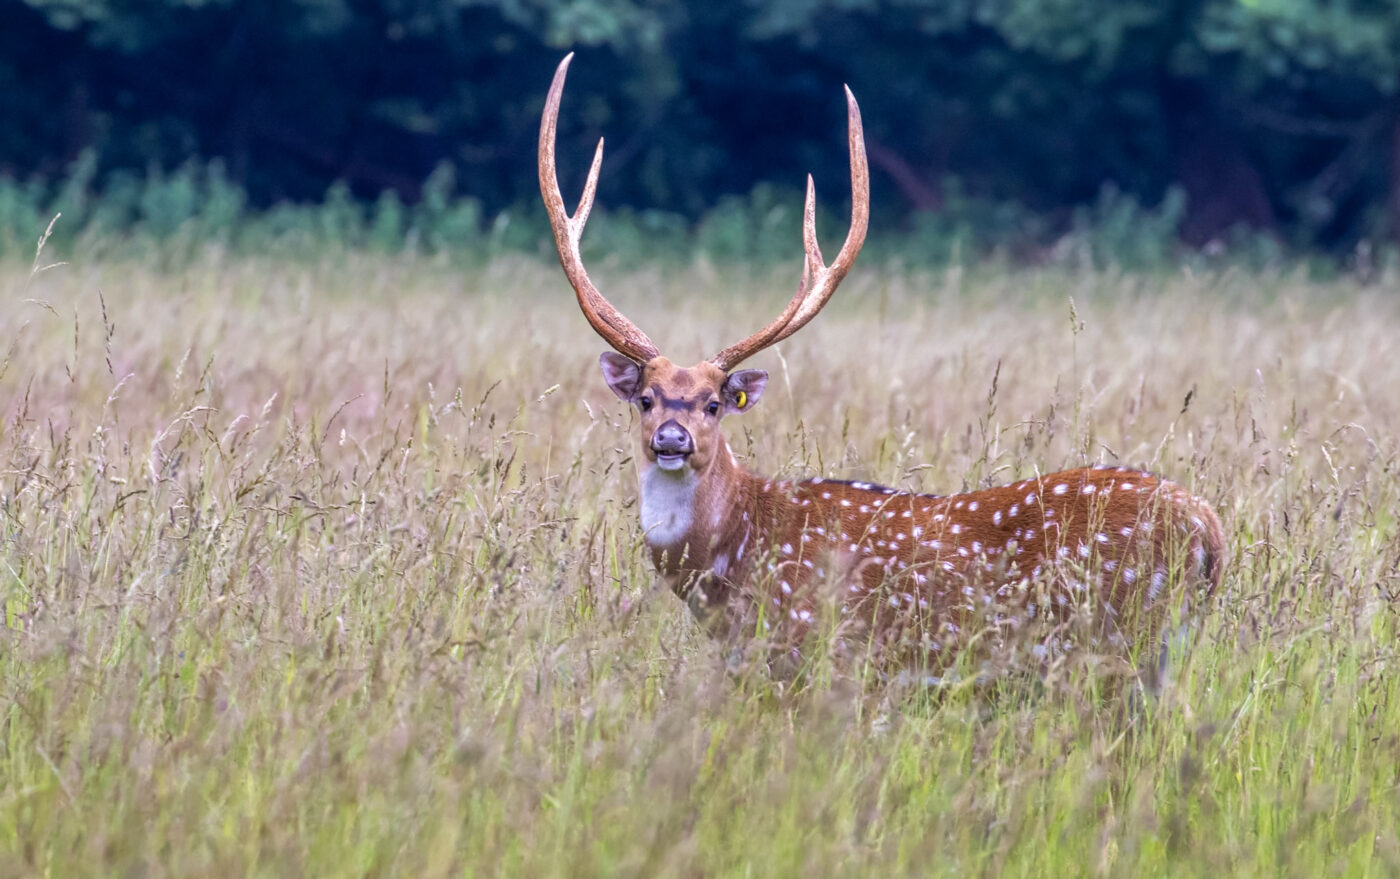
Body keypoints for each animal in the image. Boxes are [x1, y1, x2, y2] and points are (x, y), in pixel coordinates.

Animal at [537, 54, 1226, 683]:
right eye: (646, 398)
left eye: (713, 403)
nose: (672, 439)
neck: (734, 559)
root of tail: (1212, 532)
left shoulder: (825, 655)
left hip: (1116, 639)